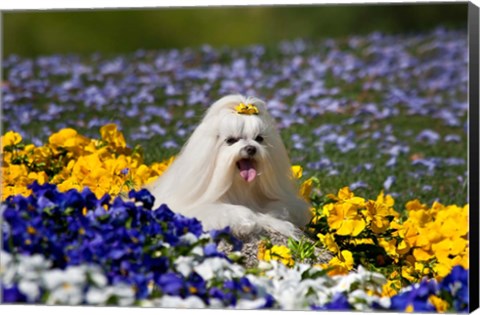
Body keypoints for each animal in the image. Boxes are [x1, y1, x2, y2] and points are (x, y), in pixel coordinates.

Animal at [147, 95, 312, 238]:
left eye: (259, 138)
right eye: (231, 140)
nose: (251, 148)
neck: (239, 187)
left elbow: (278, 208)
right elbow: (231, 211)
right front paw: (248, 221)